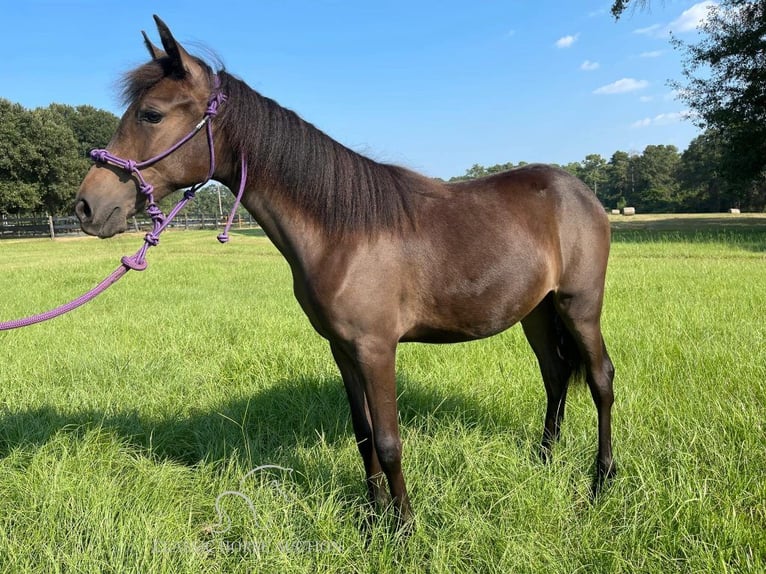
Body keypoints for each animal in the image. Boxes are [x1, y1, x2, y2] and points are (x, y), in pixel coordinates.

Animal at [75, 16, 616, 532]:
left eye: (151, 114)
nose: (87, 206)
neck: (343, 234)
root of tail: (580, 192)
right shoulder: (342, 348)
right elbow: (363, 436)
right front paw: (373, 517)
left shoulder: (377, 349)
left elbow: (390, 440)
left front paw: (404, 529)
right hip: (537, 311)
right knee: (554, 376)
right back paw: (545, 460)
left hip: (579, 307)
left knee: (600, 379)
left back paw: (602, 481)